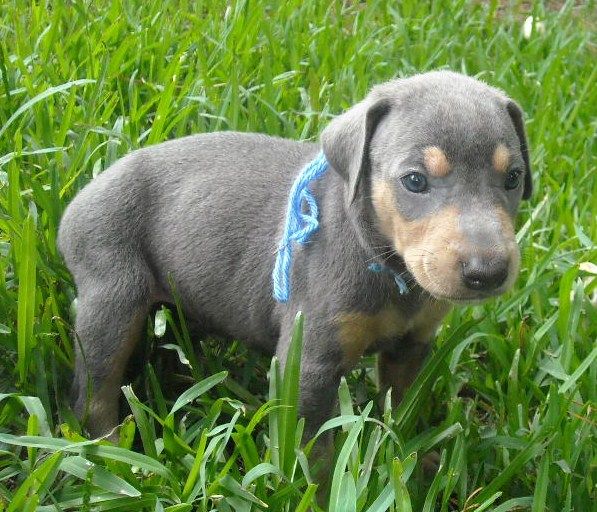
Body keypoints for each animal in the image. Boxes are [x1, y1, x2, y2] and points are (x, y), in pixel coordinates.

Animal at [57, 71, 532, 436]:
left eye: (513, 178)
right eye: (414, 181)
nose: (488, 273)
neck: (385, 262)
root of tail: (80, 197)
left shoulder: (412, 346)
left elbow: (400, 410)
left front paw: (407, 453)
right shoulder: (309, 362)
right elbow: (310, 450)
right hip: (111, 291)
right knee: (93, 388)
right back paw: (110, 446)